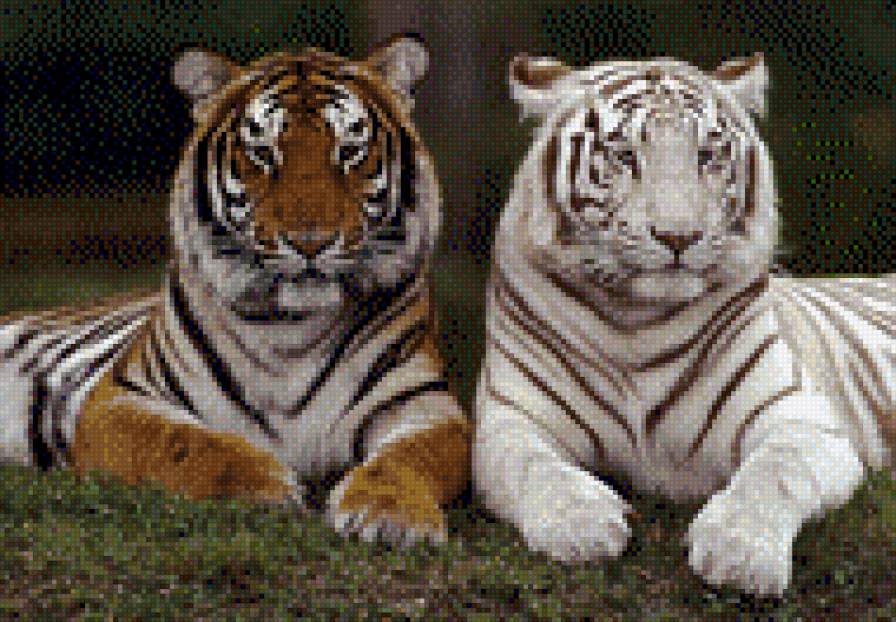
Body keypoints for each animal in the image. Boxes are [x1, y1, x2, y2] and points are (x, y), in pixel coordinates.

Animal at [0, 36, 470, 547]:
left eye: (349, 150)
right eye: (263, 152)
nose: (310, 241)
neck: (290, 330)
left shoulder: (425, 406)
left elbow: (410, 457)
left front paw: (391, 515)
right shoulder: (121, 398)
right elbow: (188, 443)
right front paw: (265, 486)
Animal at [473, 51, 896, 596]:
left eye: (707, 155)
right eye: (624, 155)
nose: (678, 237)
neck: (635, 323)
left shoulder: (800, 418)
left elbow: (774, 471)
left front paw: (740, 552)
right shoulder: (511, 419)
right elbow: (536, 467)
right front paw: (581, 525)